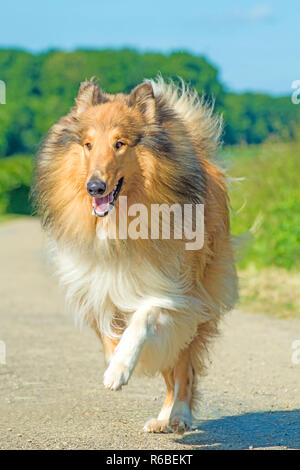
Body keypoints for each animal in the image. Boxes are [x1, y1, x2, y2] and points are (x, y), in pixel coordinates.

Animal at [33, 76, 239, 434]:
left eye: (120, 144)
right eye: (88, 144)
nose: (95, 188)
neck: (119, 224)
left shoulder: (176, 293)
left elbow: (142, 321)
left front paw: (120, 369)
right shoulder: (96, 289)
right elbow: (109, 337)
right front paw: (116, 361)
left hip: (201, 299)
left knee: (183, 367)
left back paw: (179, 415)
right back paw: (163, 417)